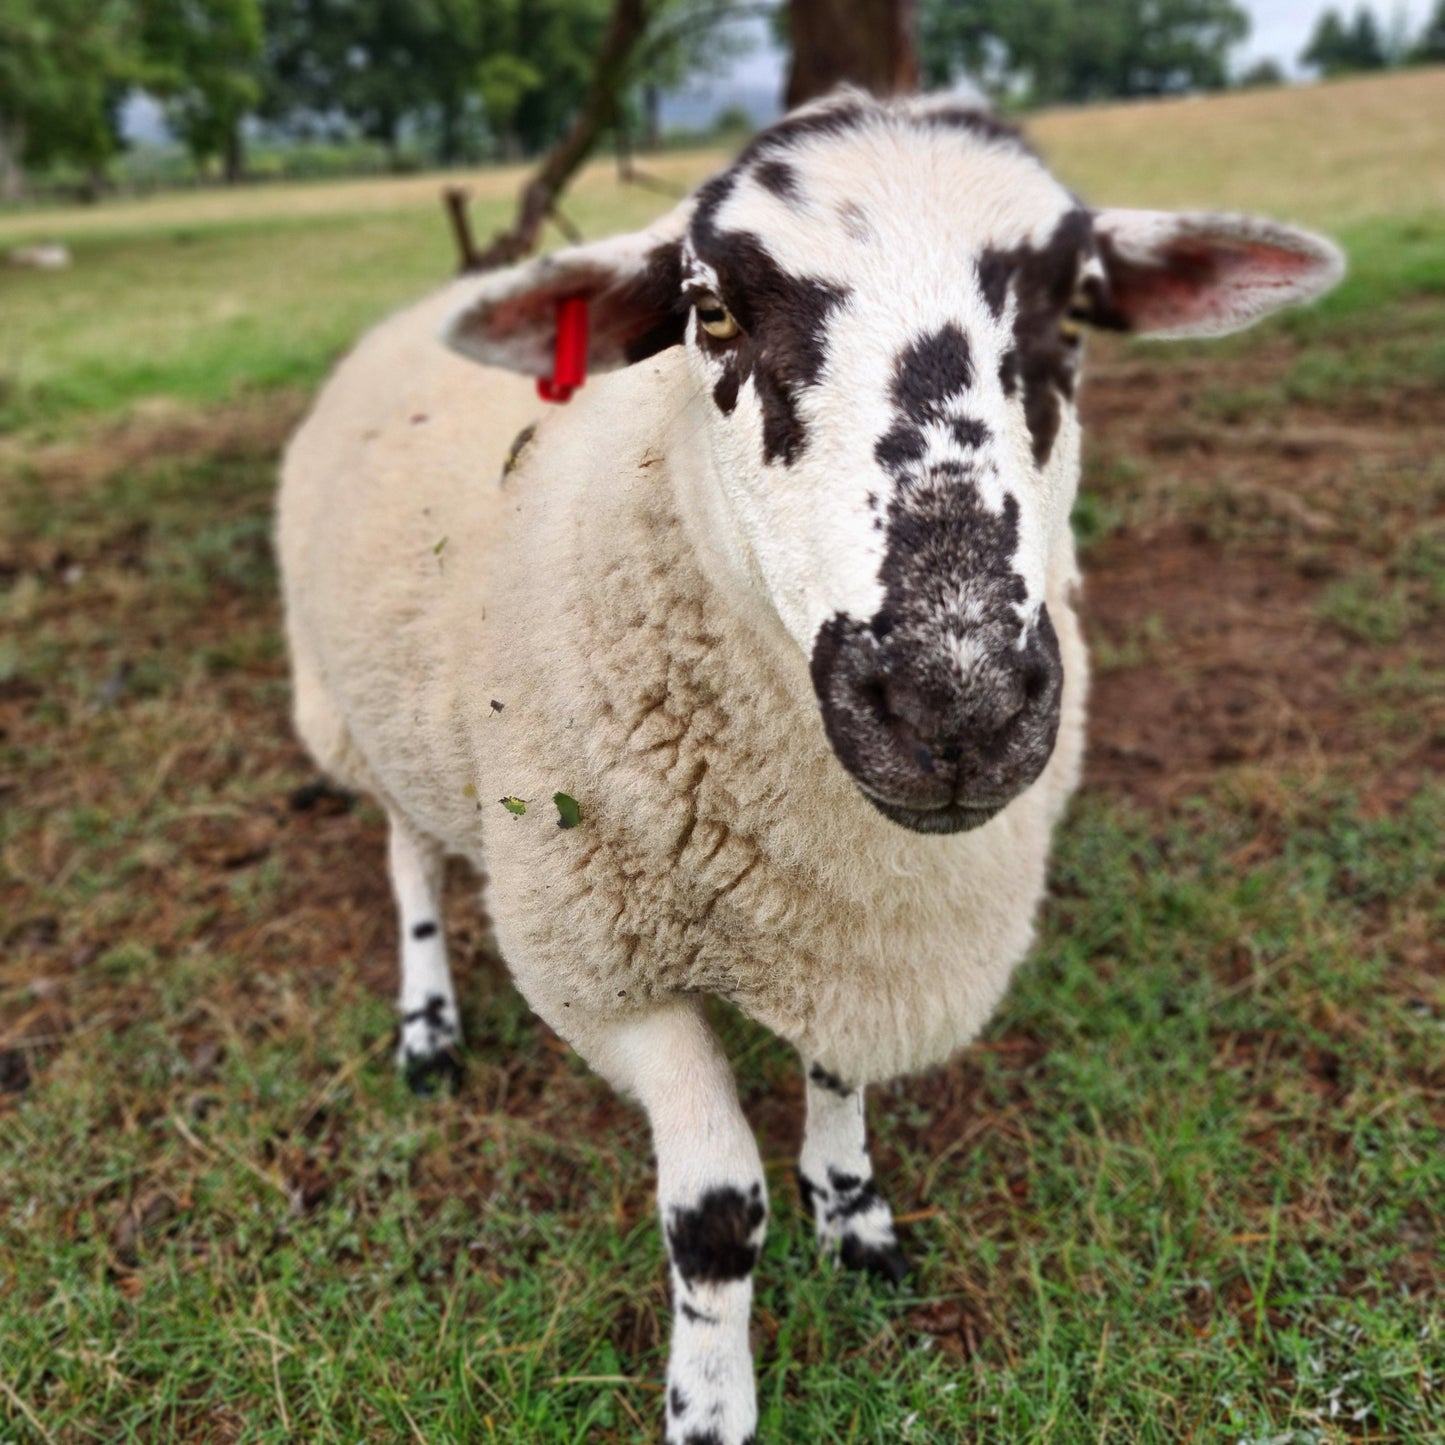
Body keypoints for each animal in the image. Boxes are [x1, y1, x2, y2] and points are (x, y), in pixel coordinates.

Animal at [277, 90, 1343, 1444]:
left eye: (1072, 312)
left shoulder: (853, 932)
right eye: (709, 309)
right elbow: (715, 1214)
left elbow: (836, 1077)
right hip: (357, 708)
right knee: (409, 853)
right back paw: (426, 1023)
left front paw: (853, 1210)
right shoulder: (598, 969)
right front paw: (708, 1401)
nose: (954, 705)